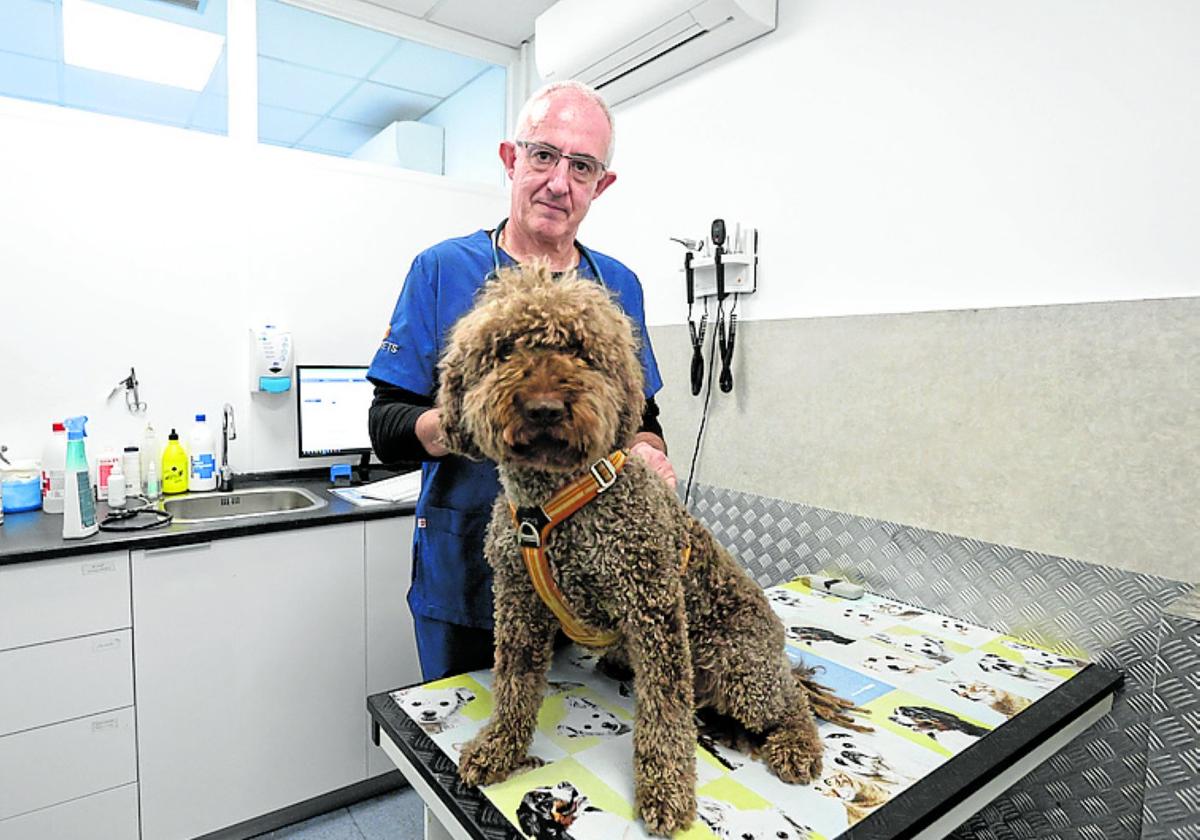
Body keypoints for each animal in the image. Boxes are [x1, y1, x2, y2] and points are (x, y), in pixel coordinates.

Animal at [441, 260, 864, 835]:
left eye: (581, 350)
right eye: (505, 350)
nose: (545, 409)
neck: (553, 503)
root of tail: (776, 653)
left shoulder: (655, 609)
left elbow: (665, 713)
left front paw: (667, 791)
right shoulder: (518, 603)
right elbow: (513, 683)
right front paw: (499, 747)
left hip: (739, 665)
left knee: (791, 700)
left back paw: (797, 745)